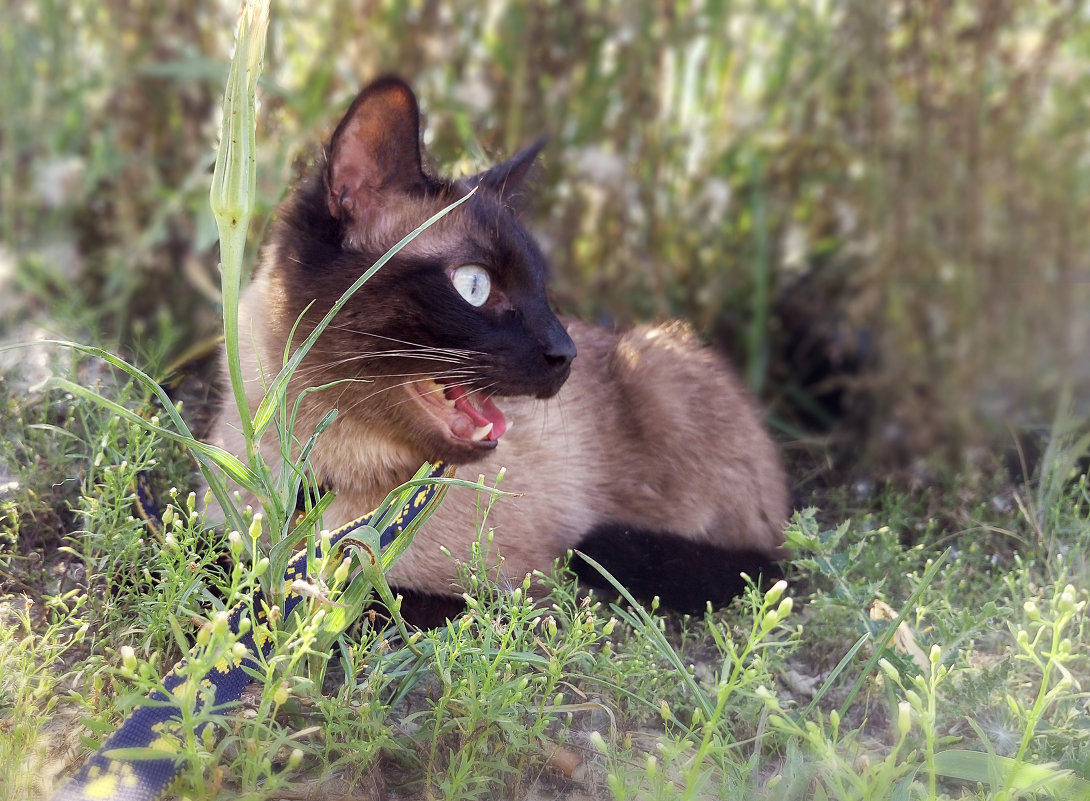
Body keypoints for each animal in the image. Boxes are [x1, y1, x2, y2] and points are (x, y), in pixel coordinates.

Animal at [206, 76, 784, 614]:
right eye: (475, 286)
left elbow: (354, 601)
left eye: (542, 292)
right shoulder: (226, 537)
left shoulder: (500, 595)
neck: (316, 481)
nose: (565, 354)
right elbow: (221, 569)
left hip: (658, 370)